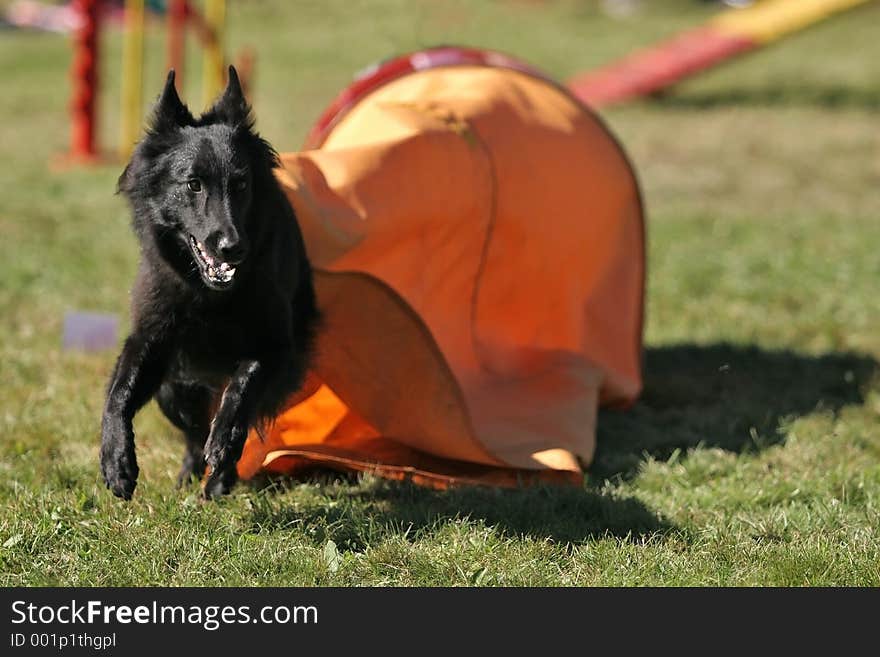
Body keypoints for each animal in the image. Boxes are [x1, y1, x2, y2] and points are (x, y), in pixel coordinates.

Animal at [102, 66, 320, 498]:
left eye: (241, 184)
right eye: (193, 184)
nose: (233, 247)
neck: (210, 298)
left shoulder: (277, 345)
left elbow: (244, 383)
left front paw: (226, 440)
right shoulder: (154, 335)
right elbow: (119, 390)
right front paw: (116, 459)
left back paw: (219, 476)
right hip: (174, 387)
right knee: (191, 433)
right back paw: (192, 474)